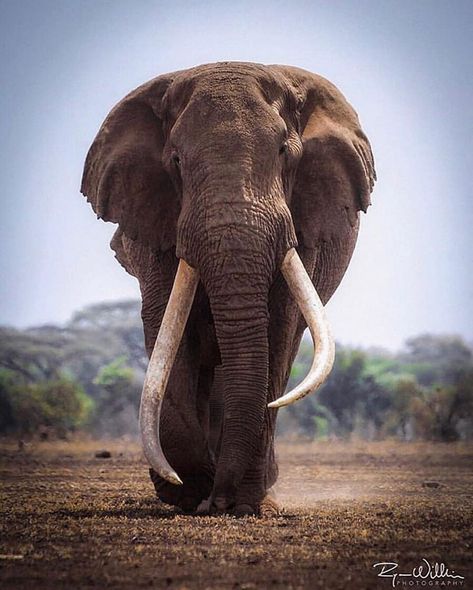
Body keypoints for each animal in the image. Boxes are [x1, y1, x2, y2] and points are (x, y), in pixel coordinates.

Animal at [82, 61, 376, 520]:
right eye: (176, 161)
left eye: (284, 153)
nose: (217, 501)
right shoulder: (155, 223)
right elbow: (168, 329)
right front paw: (189, 491)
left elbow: (278, 331)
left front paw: (240, 502)